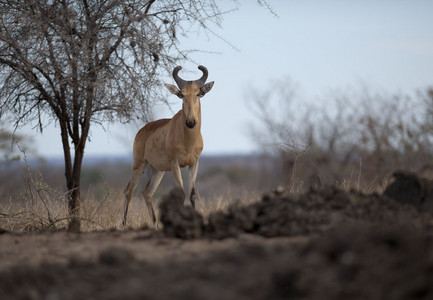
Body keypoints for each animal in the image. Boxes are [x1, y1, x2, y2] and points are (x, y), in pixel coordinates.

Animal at [122, 65, 213, 225]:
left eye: (198, 94)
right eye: (181, 95)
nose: (190, 122)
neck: (188, 140)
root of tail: (142, 130)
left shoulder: (194, 162)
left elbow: (192, 194)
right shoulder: (175, 162)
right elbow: (181, 194)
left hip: (158, 170)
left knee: (147, 192)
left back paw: (155, 223)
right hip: (139, 164)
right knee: (129, 191)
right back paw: (124, 223)